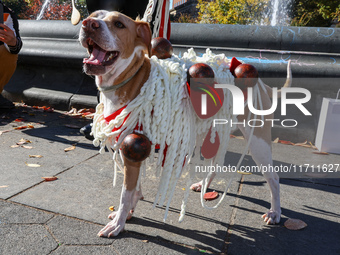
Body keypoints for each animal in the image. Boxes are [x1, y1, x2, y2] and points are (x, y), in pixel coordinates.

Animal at [79, 9, 290, 237]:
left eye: (119, 24)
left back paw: (275, 213)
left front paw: (118, 223)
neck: (133, 79)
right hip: (210, 132)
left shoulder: (133, 148)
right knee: (216, 164)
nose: (88, 23)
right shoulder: (134, 149)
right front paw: (129, 211)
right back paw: (202, 185)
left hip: (258, 142)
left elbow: (126, 193)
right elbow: (135, 188)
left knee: (274, 178)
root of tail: (263, 85)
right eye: (94, 15)